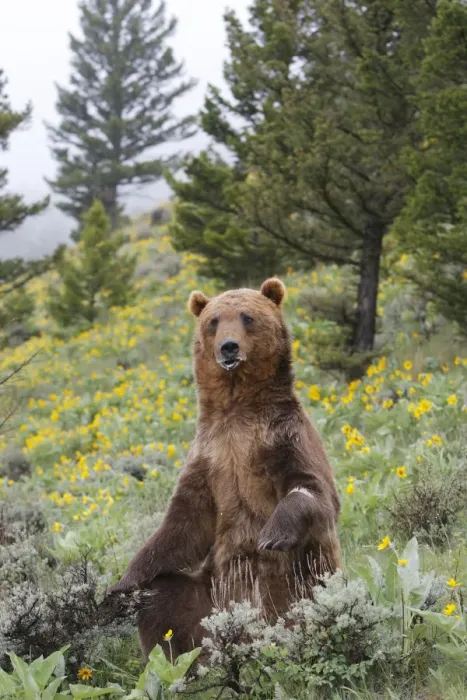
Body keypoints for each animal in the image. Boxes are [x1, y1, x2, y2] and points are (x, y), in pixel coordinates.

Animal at [108, 278, 341, 659]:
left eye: (247, 316)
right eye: (213, 321)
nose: (228, 347)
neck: (237, 412)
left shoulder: (282, 439)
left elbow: (312, 489)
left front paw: (272, 533)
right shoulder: (210, 457)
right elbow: (182, 524)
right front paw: (120, 585)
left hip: (295, 581)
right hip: (207, 595)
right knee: (162, 599)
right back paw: (181, 660)